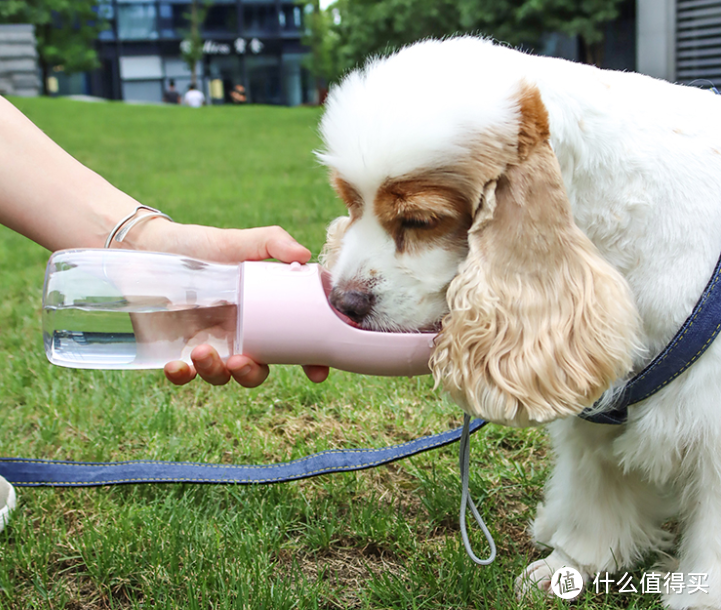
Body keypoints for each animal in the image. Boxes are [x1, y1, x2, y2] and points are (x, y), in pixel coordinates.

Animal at [318, 35, 720, 604]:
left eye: (419, 220)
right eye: (351, 202)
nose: (344, 301)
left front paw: (700, 596)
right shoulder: (593, 398)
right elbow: (596, 492)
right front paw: (569, 565)